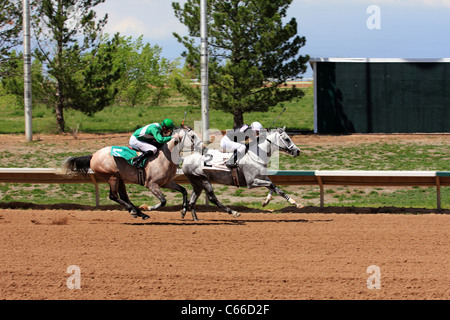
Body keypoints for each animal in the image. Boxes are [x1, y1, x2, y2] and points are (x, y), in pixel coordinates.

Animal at [60, 125, 201, 220]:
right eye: (193, 136)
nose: (202, 146)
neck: (164, 156)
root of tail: (94, 155)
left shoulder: (166, 182)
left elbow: (183, 190)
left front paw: (183, 211)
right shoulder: (151, 184)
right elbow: (163, 201)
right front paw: (147, 207)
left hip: (120, 178)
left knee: (123, 196)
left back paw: (139, 213)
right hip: (112, 176)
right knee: (113, 196)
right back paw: (135, 210)